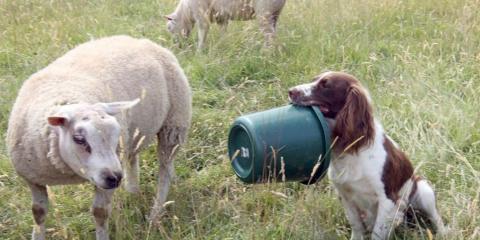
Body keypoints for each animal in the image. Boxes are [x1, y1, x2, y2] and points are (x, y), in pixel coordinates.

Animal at [6, 34, 191, 239]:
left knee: (164, 171)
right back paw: (133, 192)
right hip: (135, 135)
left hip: (173, 125)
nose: (115, 178)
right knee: (133, 157)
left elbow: (100, 213)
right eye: (79, 139)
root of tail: (140, 40)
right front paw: (37, 235)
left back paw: (155, 213)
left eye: (115, 134)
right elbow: (38, 213)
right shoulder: (32, 178)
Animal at [288, 71, 446, 240]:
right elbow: (356, 226)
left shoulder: (388, 200)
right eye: (314, 80)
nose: (291, 91)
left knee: (436, 218)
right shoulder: (345, 196)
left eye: (325, 85)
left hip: (424, 190)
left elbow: (377, 234)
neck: (350, 151)